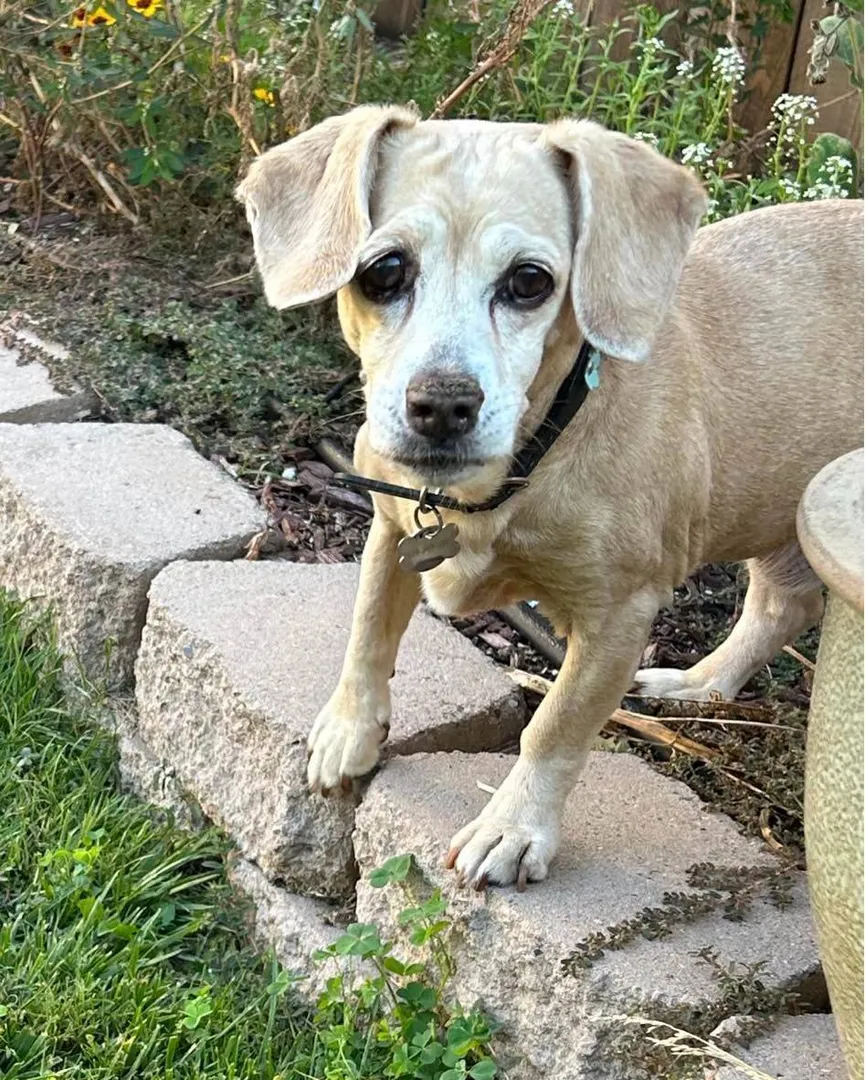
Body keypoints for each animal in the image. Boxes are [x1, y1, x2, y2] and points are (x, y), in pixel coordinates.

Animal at [233, 105, 859, 889]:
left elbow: (553, 727)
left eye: (529, 281)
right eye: (384, 271)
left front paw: (513, 828)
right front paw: (349, 731)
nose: (442, 404)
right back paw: (701, 683)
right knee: (783, 605)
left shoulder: (617, 619)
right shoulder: (389, 531)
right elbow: (368, 634)